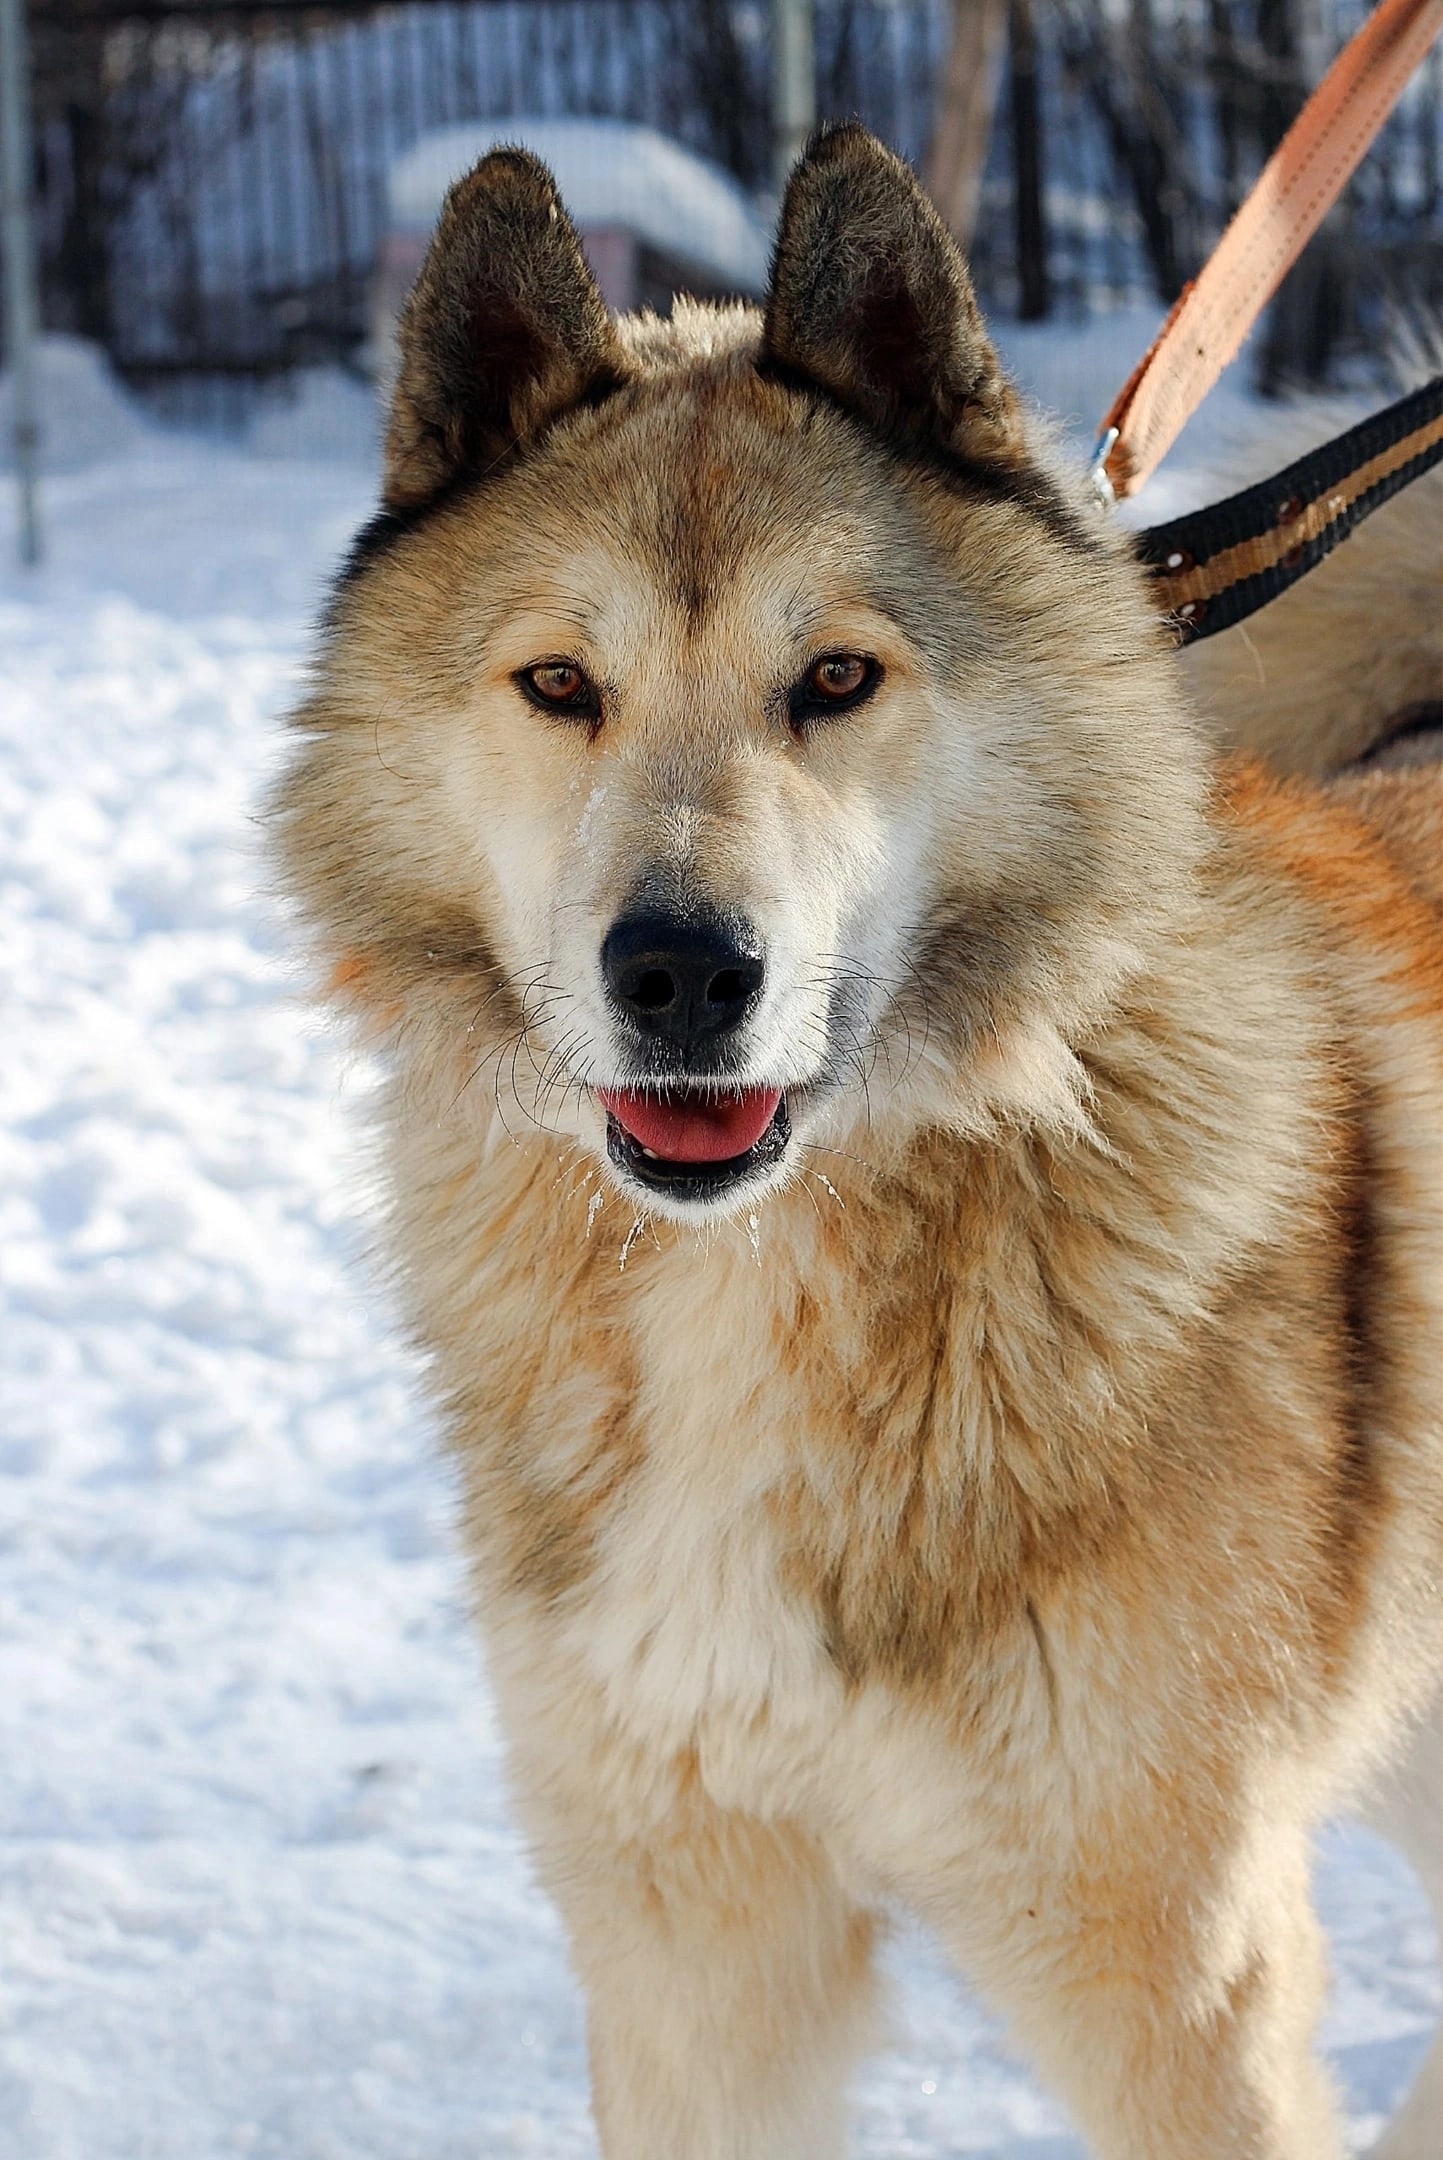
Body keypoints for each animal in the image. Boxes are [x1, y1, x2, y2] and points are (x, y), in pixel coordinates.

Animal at [273, 130, 1443, 2160]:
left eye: (832, 680)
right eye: (558, 686)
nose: (678, 970)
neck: (747, 1283)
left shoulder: (1175, 1989)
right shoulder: (693, 1963)